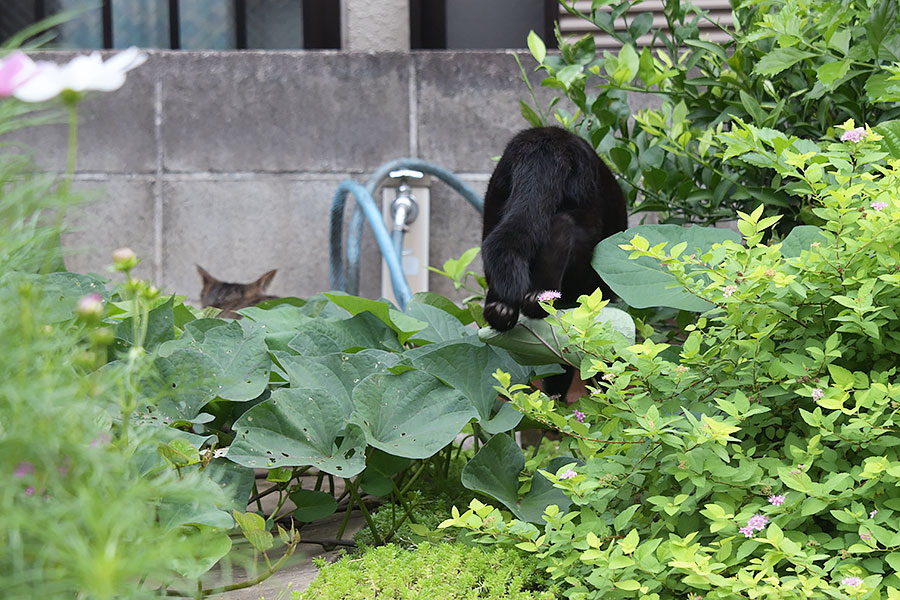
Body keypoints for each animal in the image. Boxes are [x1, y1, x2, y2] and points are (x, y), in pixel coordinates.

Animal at [482, 127, 628, 332]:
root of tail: (547, 141)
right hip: (585, 205)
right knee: (562, 226)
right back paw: (539, 299)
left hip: (494, 201)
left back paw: (501, 309)